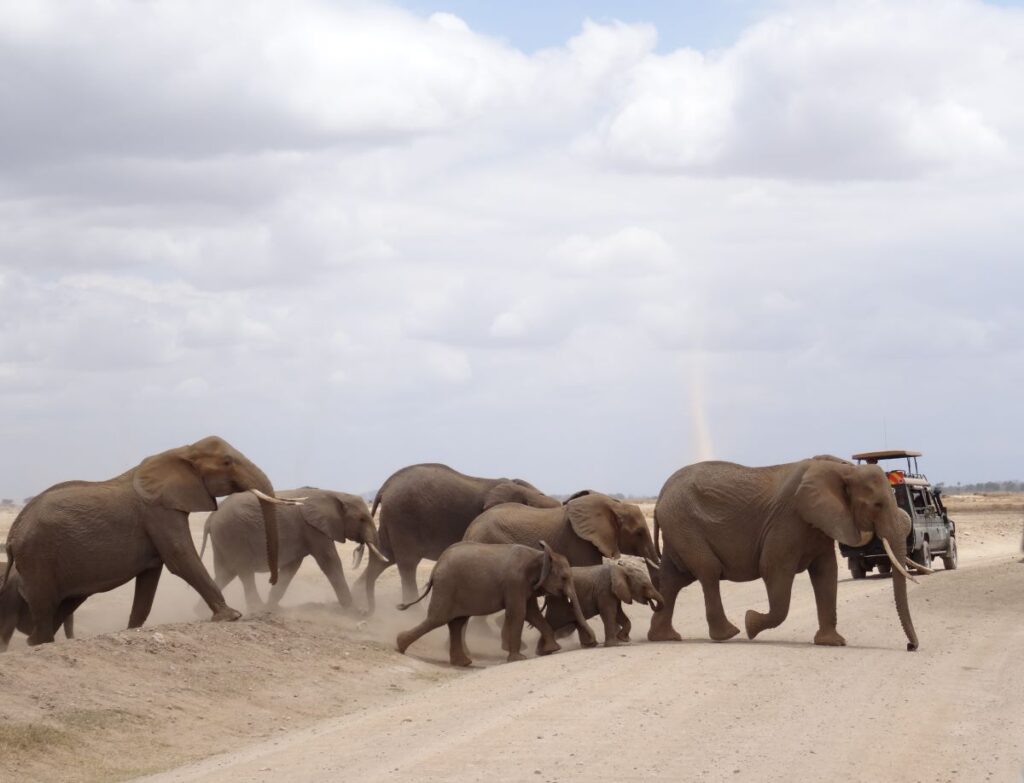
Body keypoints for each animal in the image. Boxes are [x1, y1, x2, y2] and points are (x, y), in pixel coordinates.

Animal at [0, 436, 297, 646]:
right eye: (227, 461)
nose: (272, 579)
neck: (182, 451)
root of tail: (13, 535)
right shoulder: (159, 512)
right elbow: (180, 559)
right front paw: (232, 616)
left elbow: (150, 576)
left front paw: (133, 629)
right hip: (38, 558)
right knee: (46, 606)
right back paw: (42, 643)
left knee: (63, 604)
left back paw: (35, 642)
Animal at [199, 487, 386, 612]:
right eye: (362, 519)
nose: (366, 612)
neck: (334, 493)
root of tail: (211, 517)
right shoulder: (313, 529)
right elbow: (330, 562)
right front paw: (352, 611)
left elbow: (291, 568)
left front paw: (273, 608)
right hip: (234, 533)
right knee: (244, 571)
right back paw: (256, 609)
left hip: (224, 537)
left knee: (225, 573)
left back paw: (201, 611)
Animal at [356, 463, 561, 611]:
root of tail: (386, 486)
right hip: (403, 517)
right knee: (407, 564)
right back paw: (413, 614)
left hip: (393, 519)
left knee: (383, 558)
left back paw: (356, 607)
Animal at [395, 541, 594, 666]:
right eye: (564, 577)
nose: (593, 643)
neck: (540, 554)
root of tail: (436, 567)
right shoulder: (515, 583)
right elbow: (519, 613)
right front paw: (519, 658)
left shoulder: (527, 586)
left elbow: (533, 614)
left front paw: (553, 649)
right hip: (447, 586)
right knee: (437, 619)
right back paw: (399, 645)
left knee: (456, 623)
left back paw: (463, 663)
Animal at [648, 455, 922, 651]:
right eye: (877, 505)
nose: (910, 646)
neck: (844, 469)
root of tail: (661, 495)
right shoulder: (788, 521)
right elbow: (773, 569)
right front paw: (750, 624)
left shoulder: (821, 523)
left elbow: (826, 573)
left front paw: (832, 643)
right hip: (684, 524)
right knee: (708, 570)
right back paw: (729, 634)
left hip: (678, 528)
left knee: (674, 579)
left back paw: (665, 637)